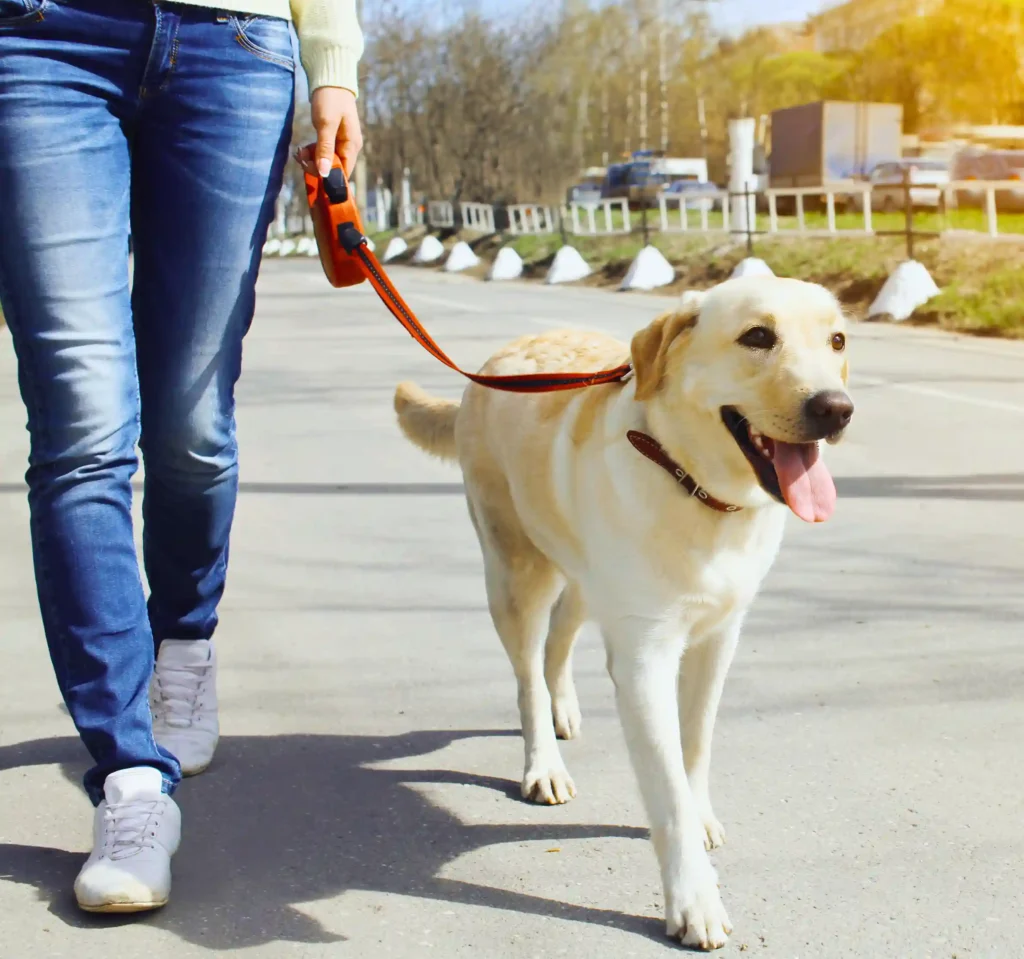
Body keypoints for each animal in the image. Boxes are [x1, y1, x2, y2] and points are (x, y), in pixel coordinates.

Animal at [389, 276, 847, 949]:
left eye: (837, 340)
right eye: (758, 336)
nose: (836, 409)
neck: (694, 486)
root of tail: (498, 360)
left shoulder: (718, 639)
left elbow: (696, 745)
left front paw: (701, 812)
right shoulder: (643, 659)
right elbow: (667, 789)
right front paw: (694, 900)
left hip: (582, 576)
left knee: (559, 641)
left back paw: (564, 710)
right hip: (515, 574)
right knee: (527, 675)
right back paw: (543, 762)